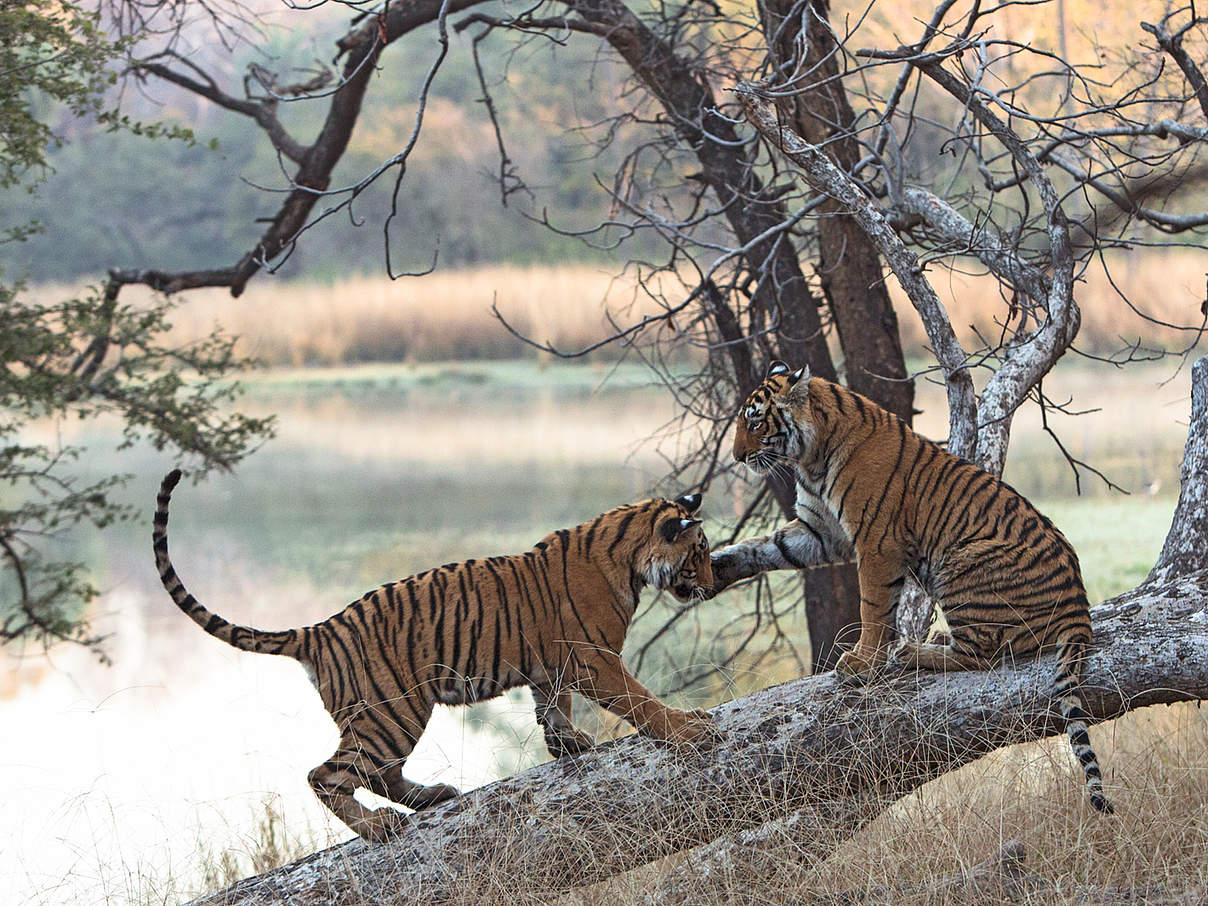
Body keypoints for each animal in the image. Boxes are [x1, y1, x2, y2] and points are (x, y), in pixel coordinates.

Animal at [151, 468, 715, 845]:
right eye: (702, 552)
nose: (712, 584)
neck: (630, 555)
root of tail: (319, 629)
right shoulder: (595, 659)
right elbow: (642, 701)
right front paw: (690, 730)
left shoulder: (553, 666)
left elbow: (552, 710)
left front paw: (570, 745)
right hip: (391, 712)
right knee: (327, 775)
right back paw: (379, 827)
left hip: (387, 718)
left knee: (376, 774)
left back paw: (434, 796)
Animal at [705, 362, 1111, 816]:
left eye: (756, 422)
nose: (738, 457)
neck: (809, 458)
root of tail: (1079, 603)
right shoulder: (819, 531)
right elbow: (763, 547)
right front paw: (717, 565)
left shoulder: (875, 541)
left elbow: (872, 606)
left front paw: (862, 662)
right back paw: (931, 641)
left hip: (961, 562)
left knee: (982, 655)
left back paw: (913, 652)